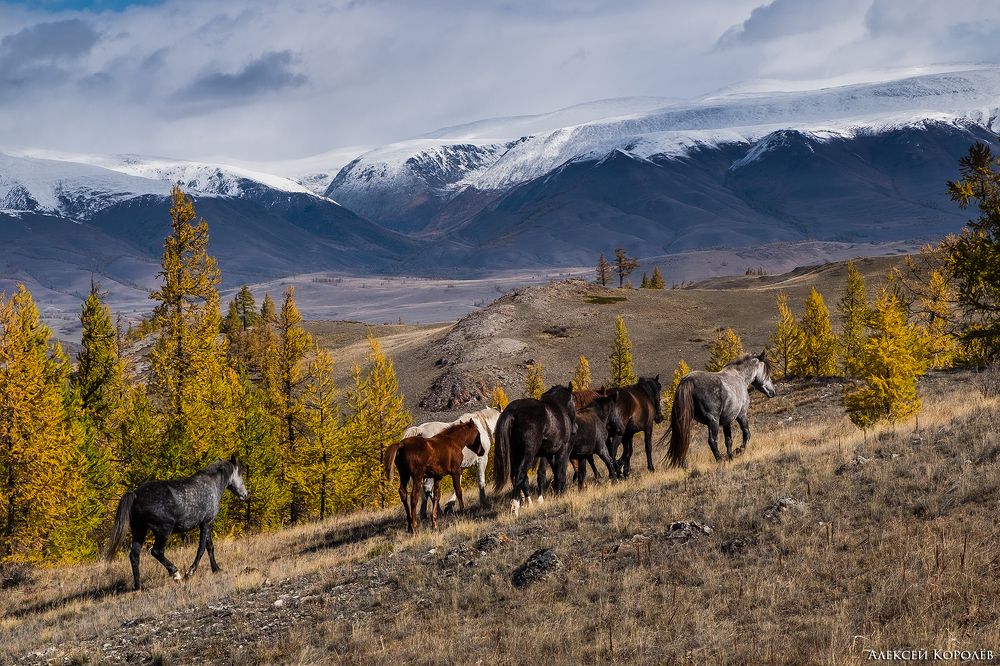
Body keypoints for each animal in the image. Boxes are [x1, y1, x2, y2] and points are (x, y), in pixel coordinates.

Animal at [105, 457, 249, 591]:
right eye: (241, 473)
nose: (245, 494)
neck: (211, 485)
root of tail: (135, 495)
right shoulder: (206, 523)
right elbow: (202, 548)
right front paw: (190, 572)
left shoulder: (206, 524)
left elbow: (210, 547)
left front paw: (216, 569)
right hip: (164, 531)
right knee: (156, 552)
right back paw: (176, 574)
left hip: (139, 530)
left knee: (134, 556)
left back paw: (138, 587)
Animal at [492, 384, 577, 515]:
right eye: (574, 401)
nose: (575, 430)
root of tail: (513, 411)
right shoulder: (561, 450)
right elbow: (560, 471)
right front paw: (560, 494)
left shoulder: (548, 453)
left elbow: (551, 472)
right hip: (529, 453)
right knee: (521, 473)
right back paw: (514, 507)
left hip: (516, 454)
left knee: (519, 476)